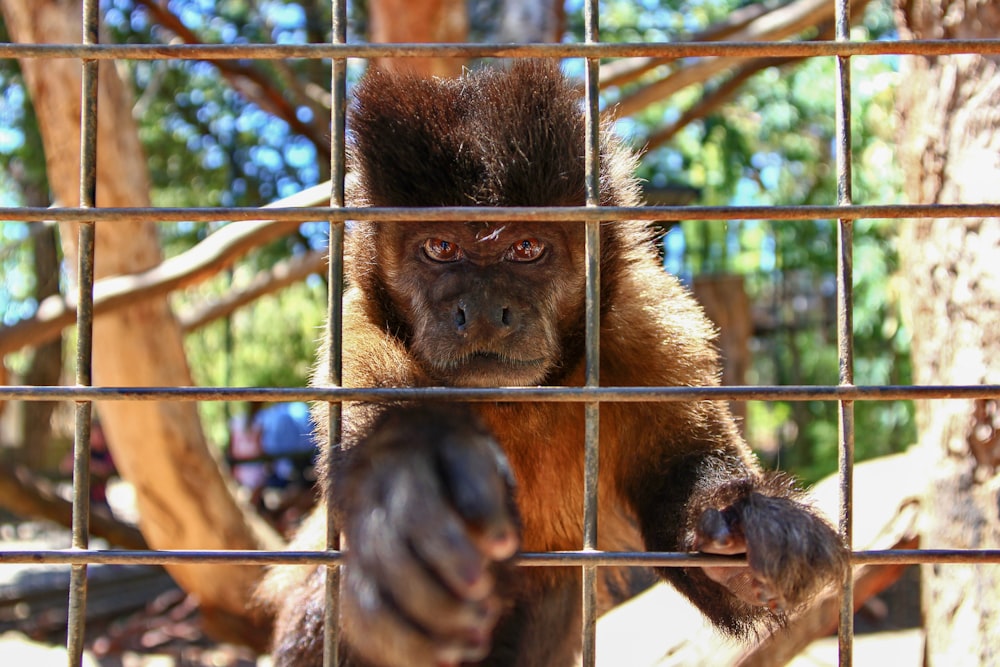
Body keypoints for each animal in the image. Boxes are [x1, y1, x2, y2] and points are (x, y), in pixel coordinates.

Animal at [258, 60, 844, 664]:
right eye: (441, 247)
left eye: (526, 248)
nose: (485, 309)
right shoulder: (357, 332)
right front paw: (404, 484)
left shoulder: (646, 331)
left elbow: (683, 483)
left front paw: (739, 538)